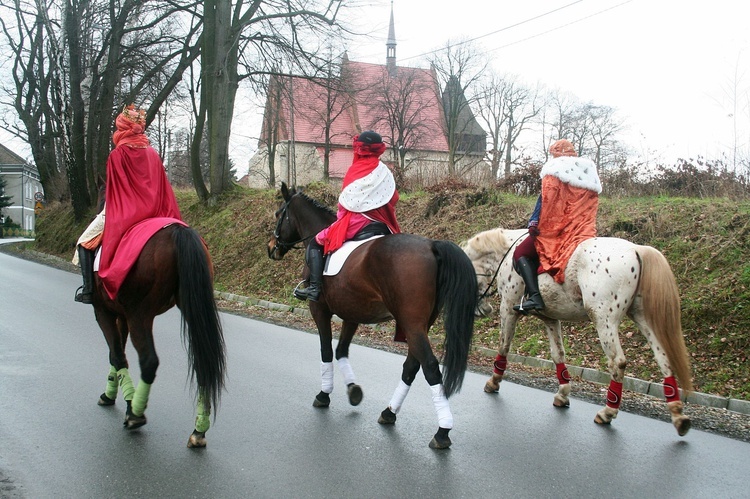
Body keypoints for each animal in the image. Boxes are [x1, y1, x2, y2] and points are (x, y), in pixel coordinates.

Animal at [87, 221, 223, 448]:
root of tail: (178, 230)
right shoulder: (121, 315)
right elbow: (118, 353)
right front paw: (110, 393)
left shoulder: (103, 311)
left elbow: (116, 354)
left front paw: (120, 400)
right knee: (203, 364)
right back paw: (198, 431)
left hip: (139, 315)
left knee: (149, 361)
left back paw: (135, 413)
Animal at [270, 184, 478, 450]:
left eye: (279, 214)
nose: (271, 248)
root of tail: (432, 245)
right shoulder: (351, 314)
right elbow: (341, 351)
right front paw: (353, 390)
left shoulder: (320, 310)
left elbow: (326, 351)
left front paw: (324, 394)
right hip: (419, 326)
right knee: (412, 366)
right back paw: (389, 412)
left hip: (412, 325)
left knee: (430, 367)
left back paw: (442, 431)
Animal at [462, 229, 696, 436]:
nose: (483, 311)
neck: (506, 252)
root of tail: (637, 249)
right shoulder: (550, 318)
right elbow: (558, 354)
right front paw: (563, 394)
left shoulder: (508, 310)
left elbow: (504, 346)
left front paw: (493, 382)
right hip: (641, 317)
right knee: (663, 357)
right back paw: (678, 416)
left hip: (604, 320)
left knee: (617, 362)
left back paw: (608, 412)